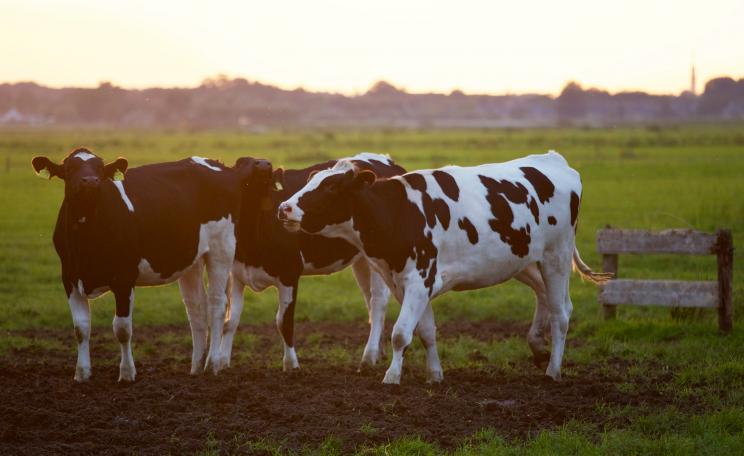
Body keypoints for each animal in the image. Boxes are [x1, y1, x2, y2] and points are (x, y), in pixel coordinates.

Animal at [31, 148, 272, 382]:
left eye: (99, 168)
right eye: (69, 168)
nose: (90, 181)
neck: (87, 236)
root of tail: (222, 167)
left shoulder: (124, 278)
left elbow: (122, 328)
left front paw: (127, 373)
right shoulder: (69, 277)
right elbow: (80, 328)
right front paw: (81, 373)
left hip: (221, 248)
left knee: (217, 305)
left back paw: (212, 364)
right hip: (191, 259)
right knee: (196, 308)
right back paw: (196, 367)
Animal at [222, 152, 406, 370]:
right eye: (241, 163)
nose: (264, 164)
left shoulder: (289, 273)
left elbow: (284, 322)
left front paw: (291, 365)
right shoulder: (237, 273)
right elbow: (230, 320)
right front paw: (219, 362)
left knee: (377, 302)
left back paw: (369, 357)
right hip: (363, 260)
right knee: (369, 299)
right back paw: (378, 351)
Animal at [278, 150, 612, 384]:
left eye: (331, 187)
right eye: (310, 181)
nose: (284, 208)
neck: (399, 212)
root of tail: (554, 160)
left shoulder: (419, 279)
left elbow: (400, 333)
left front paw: (392, 376)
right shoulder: (408, 283)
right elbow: (425, 331)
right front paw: (434, 374)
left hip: (556, 257)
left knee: (561, 313)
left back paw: (553, 370)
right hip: (524, 261)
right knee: (545, 297)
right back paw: (538, 347)